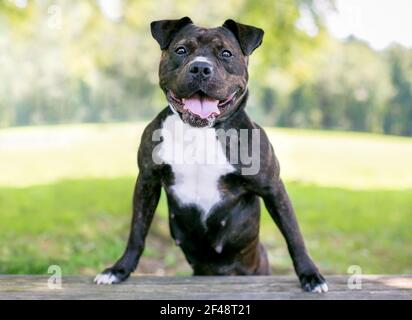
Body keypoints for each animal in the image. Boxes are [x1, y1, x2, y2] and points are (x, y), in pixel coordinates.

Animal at [94, 16, 328, 292]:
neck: (201, 131)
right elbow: (137, 233)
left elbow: (294, 235)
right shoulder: (147, 180)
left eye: (226, 53)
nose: (200, 68)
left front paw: (310, 275)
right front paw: (119, 270)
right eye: (181, 50)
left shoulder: (273, 187)